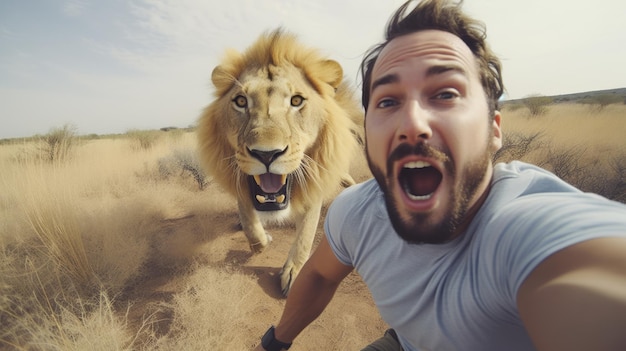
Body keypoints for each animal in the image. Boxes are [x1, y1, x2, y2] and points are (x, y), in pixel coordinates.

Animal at [195, 28, 360, 296]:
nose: (266, 154)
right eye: (241, 101)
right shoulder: (243, 184)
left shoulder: (314, 187)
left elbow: (305, 236)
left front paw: (294, 273)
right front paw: (262, 241)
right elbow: (250, 225)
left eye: (296, 101)